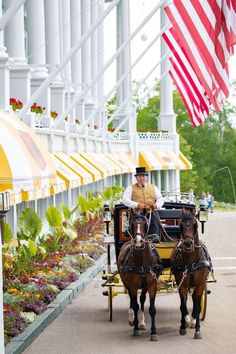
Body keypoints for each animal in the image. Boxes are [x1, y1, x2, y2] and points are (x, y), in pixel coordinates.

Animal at [117, 210, 162, 340]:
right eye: (132, 224)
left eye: (145, 223)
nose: (138, 241)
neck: (142, 262)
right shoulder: (132, 285)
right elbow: (135, 304)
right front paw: (135, 328)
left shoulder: (152, 284)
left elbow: (152, 308)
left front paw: (153, 332)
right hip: (126, 282)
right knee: (132, 300)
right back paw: (132, 318)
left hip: (144, 285)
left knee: (141, 299)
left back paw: (141, 321)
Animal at [171, 209, 211, 338]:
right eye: (181, 225)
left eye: (195, 224)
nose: (188, 243)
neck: (191, 262)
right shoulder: (181, 283)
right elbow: (183, 305)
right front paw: (184, 325)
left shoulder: (200, 284)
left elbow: (197, 305)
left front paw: (197, 329)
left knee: (195, 300)